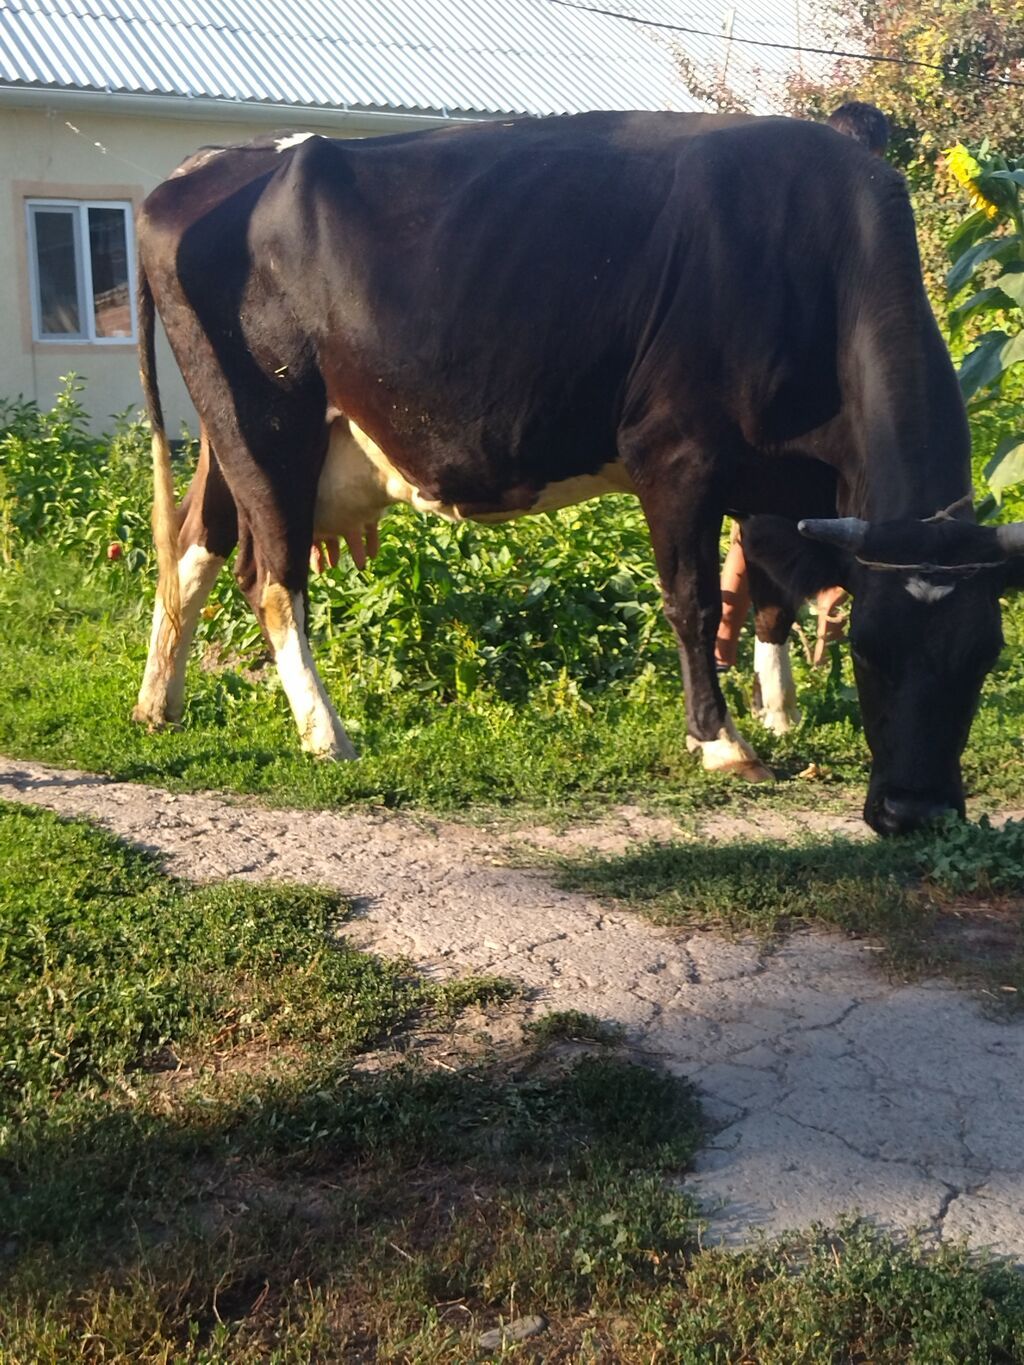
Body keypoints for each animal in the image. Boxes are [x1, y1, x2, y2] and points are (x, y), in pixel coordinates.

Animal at [132, 112, 1024, 836]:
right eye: (870, 651)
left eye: (985, 654)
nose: (916, 811)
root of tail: (201, 168)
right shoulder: (677, 456)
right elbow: (695, 603)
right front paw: (722, 740)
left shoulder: (778, 483)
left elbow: (773, 595)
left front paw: (781, 716)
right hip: (266, 421)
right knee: (272, 579)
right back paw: (326, 733)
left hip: (232, 436)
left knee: (196, 547)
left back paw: (159, 704)